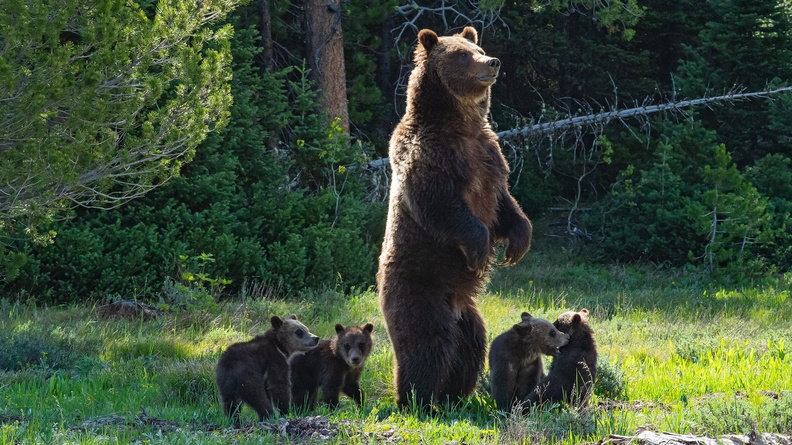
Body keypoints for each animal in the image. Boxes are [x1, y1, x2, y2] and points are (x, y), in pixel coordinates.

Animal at [377, 26, 533, 408]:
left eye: (478, 47)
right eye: (462, 55)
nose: (492, 62)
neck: (461, 125)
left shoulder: (489, 155)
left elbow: (505, 204)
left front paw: (517, 244)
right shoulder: (430, 156)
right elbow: (442, 206)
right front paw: (480, 250)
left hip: (468, 313)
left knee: (470, 344)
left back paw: (454, 395)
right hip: (419, 287)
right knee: (428, 342)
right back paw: (416, 398)